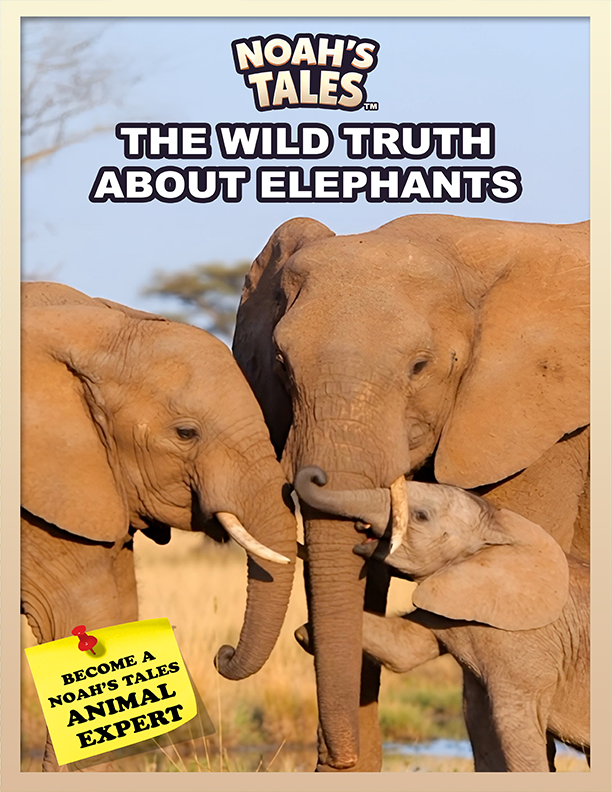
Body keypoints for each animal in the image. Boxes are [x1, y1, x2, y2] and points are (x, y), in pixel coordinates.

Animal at [295, 474, 590, 772]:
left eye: (421, 516)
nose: (317, 476)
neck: (497, 532)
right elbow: (404, 648)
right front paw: (304, 633)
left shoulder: (526, 647)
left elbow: (518, 738)